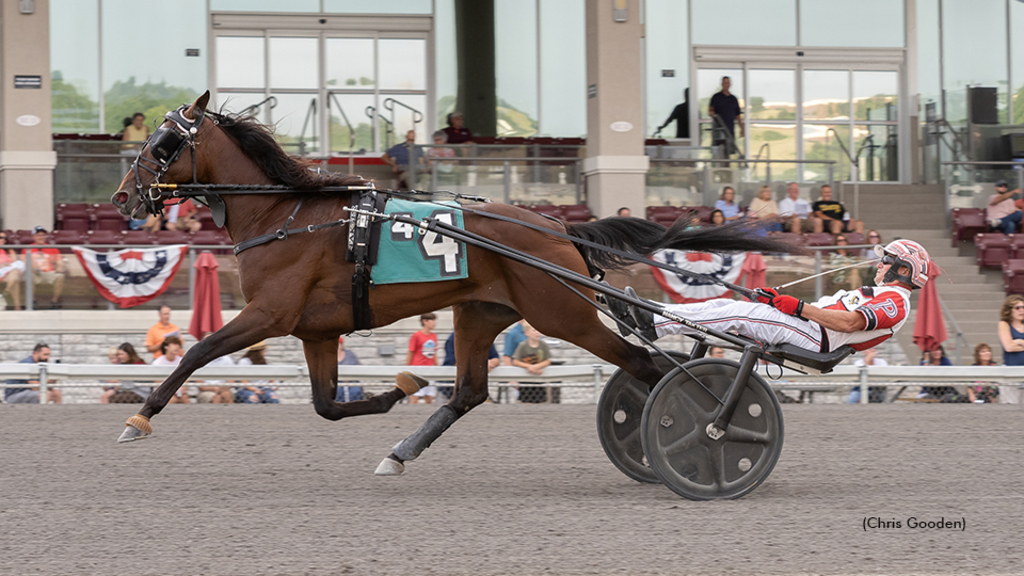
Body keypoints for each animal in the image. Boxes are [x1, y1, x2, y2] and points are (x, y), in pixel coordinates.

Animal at [114, 90, 798, 475]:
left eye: (165, 141)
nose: (123, 198)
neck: (289, 215)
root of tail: (561, 228)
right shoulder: (318, 331)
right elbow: (328, 404)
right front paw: (398, 389)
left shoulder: (271, 315)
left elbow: (197, 352)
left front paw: (139, 418)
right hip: (481, 313)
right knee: (471, 391)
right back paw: (401, 453)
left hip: (563, 314)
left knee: (650, 369)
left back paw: (705, 434)